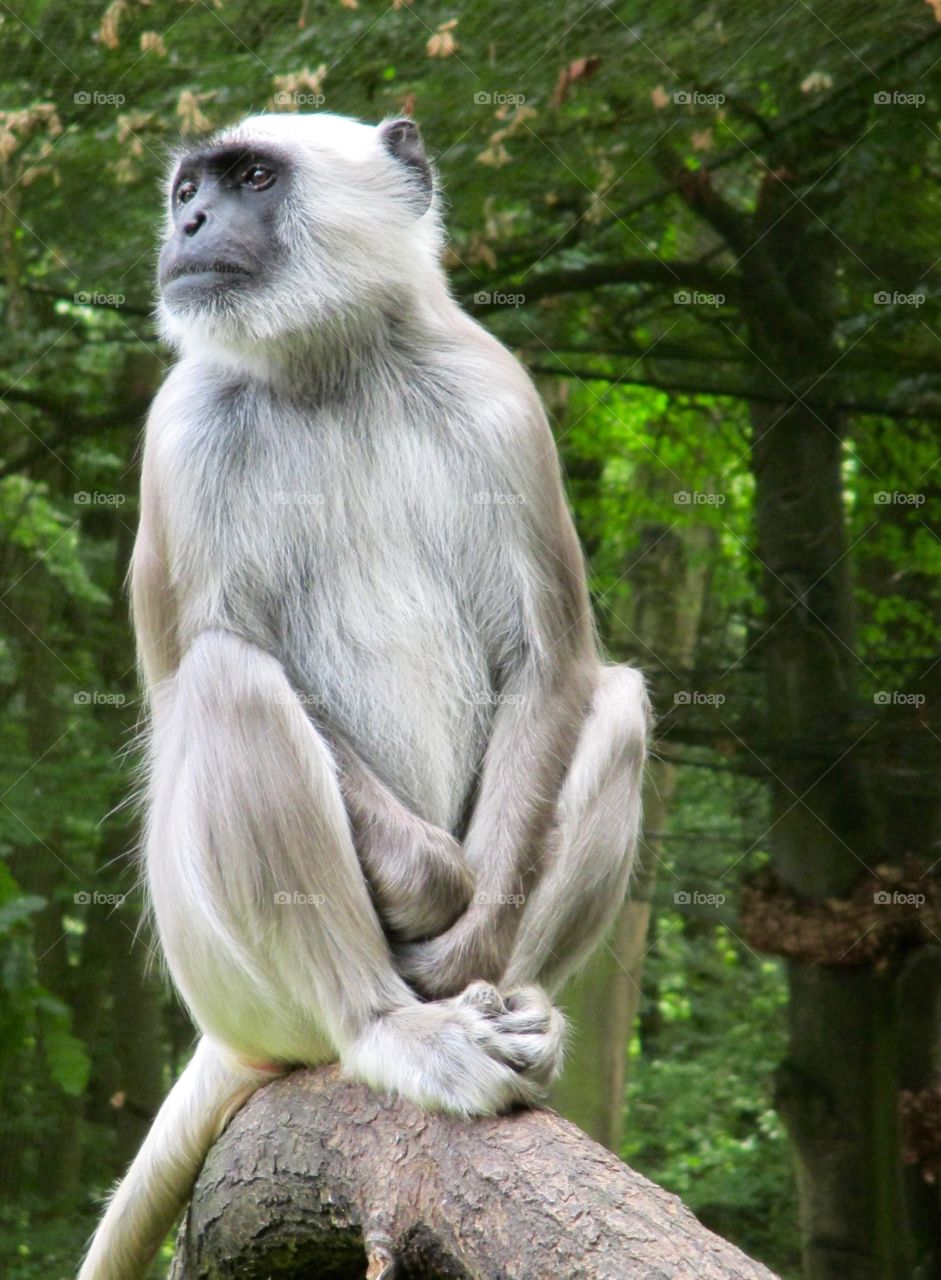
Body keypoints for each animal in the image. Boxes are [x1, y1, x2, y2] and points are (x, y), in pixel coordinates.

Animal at [79, 115, 647, 1280]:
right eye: (189, 191)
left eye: (252, 178)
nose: (191, 226)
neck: (327, 363)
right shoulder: (183, 425)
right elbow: (193, 671)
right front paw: (431, 895)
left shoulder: (496, 392)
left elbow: (551, 664)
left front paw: (469, 939)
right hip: (226, 971)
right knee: (228, 684)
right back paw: (384, 1024)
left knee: (612, 700)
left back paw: (519, 1006)